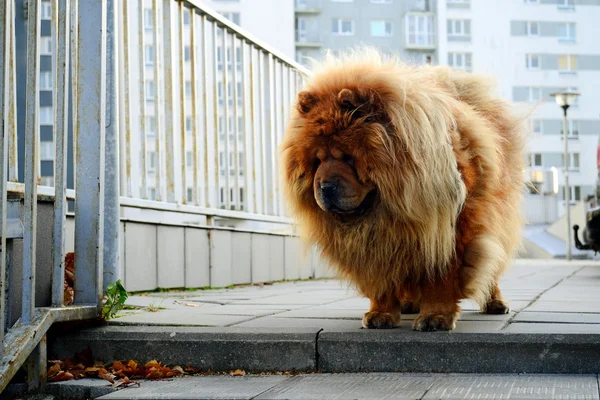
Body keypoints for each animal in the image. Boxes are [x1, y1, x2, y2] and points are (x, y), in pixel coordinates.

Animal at [280, 47, 524, 332]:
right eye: (317, 161)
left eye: (349, 158)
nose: (325, 187)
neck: (387, 209)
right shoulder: (380, 245)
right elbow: (383, 279)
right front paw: (381, 313)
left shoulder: (446, 229)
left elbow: (441, 277)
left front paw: (436, 317)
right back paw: (409, 304)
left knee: (492, 265)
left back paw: (494, 302)